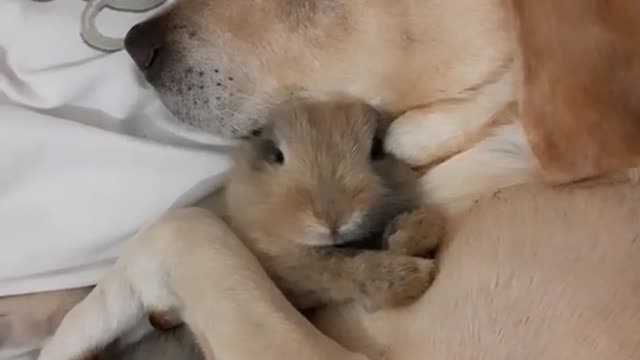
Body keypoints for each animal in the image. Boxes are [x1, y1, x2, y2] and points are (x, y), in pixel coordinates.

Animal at [215, 99, 444, 312]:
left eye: (377, 149)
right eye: (276, 154)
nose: (334, 220)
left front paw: (417, 229)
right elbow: (342, 268)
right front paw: (416, 275)